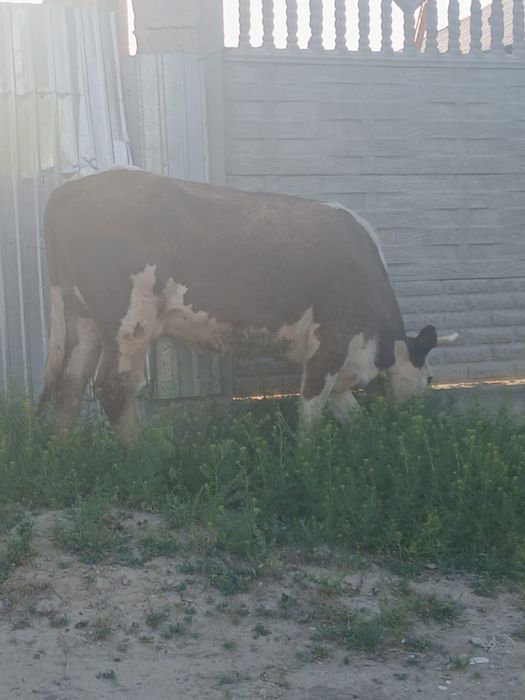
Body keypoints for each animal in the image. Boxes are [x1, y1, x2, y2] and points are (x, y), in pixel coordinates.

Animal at [39, 168, 458, 440]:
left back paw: (67, 453)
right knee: (114, 386)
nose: (424, 413)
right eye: (429, 378)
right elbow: (311, 408)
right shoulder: (330, 342)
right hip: (129, 319)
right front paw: (308, 458)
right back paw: (140, 457)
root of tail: (71, 190)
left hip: (81, 316)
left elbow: (347, 411)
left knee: (70, 385)